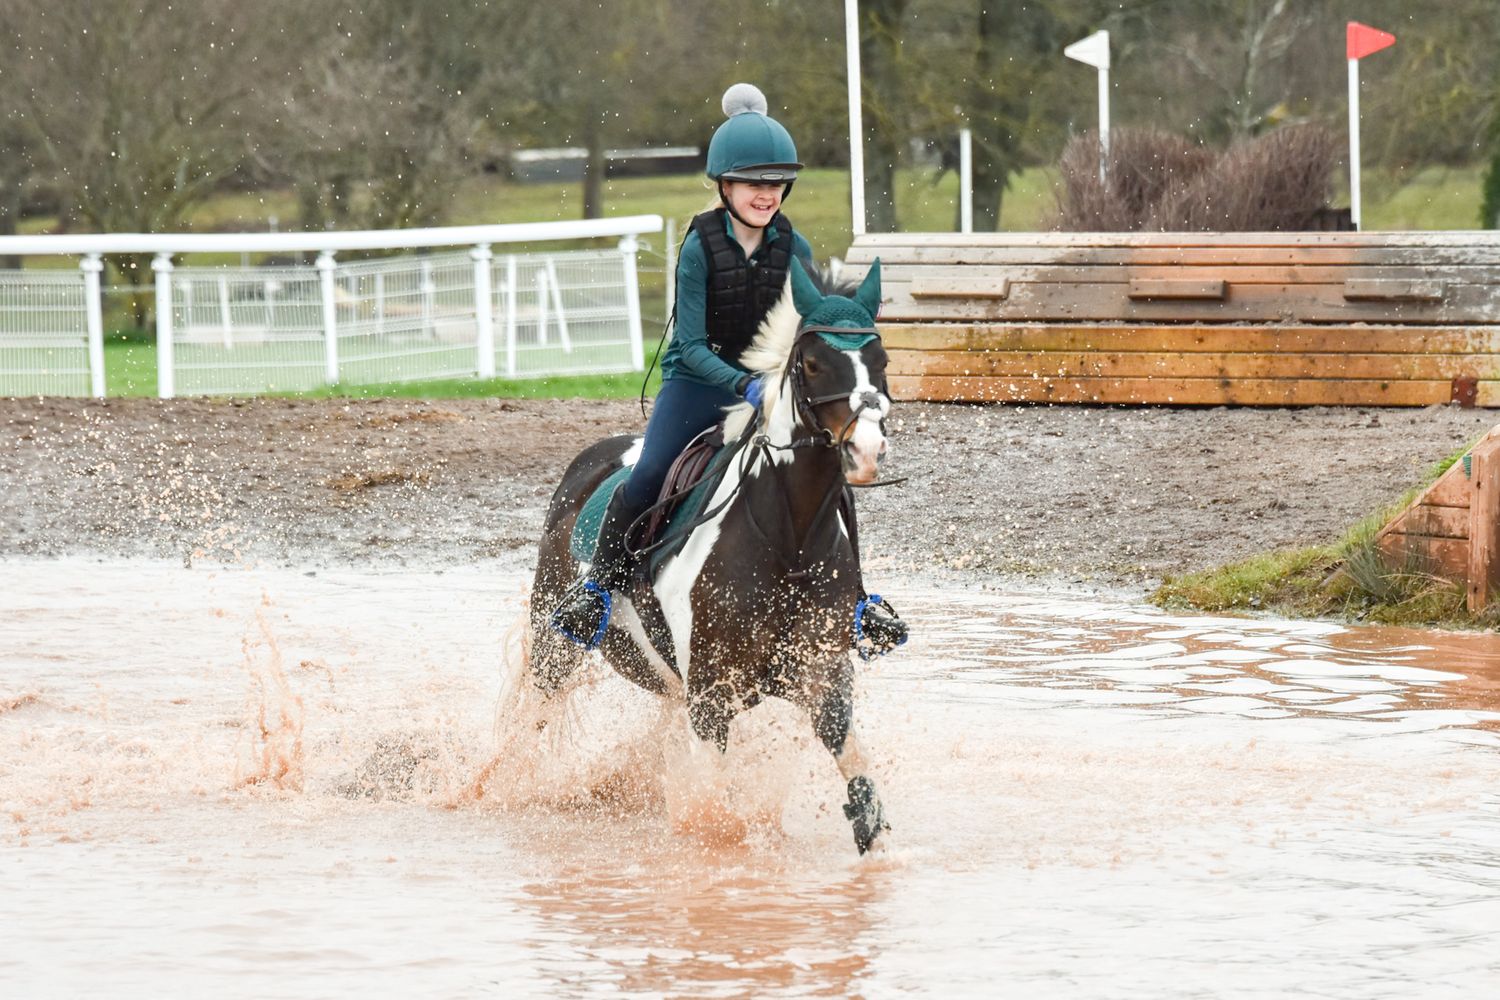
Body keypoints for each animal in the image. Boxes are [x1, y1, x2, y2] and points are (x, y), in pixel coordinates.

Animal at [525, 258, 894, 854]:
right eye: (813, 363)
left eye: (881, 361)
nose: (865, 452)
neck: (787, 537)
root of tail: (590, 462)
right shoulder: (711, 696)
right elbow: (718, 820)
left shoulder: (821, 675)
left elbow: (859, 783)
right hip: (553, 643)